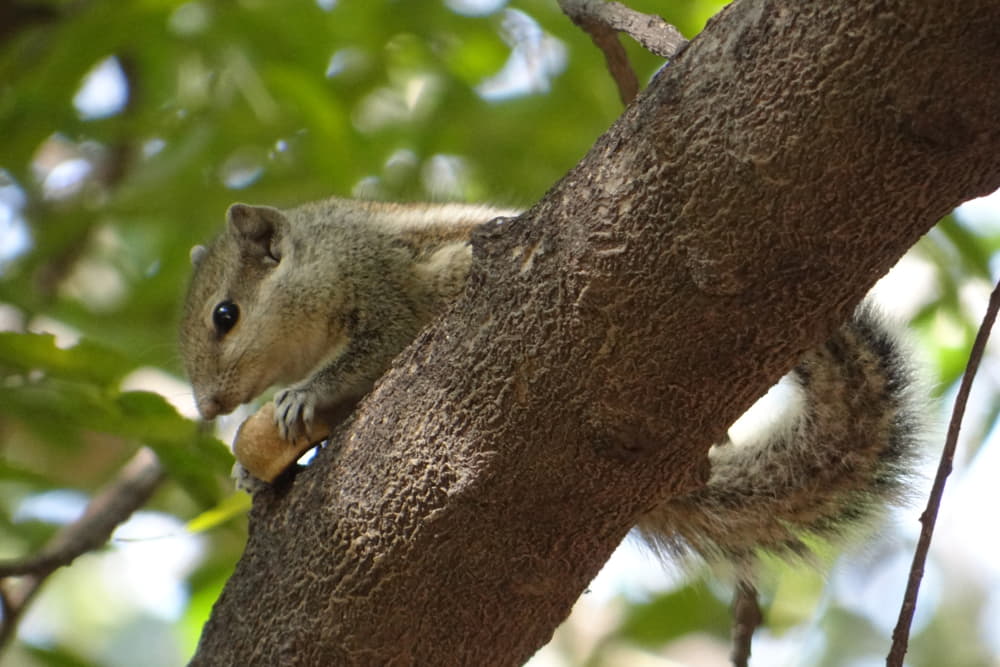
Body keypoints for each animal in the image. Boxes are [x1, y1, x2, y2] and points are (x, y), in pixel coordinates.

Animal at [180, 196, 920, 568]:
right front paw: (253, 471)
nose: (210, 406)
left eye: (225, 315)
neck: (323, 254)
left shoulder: (379, 282)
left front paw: (304, 397)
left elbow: (369, 353)